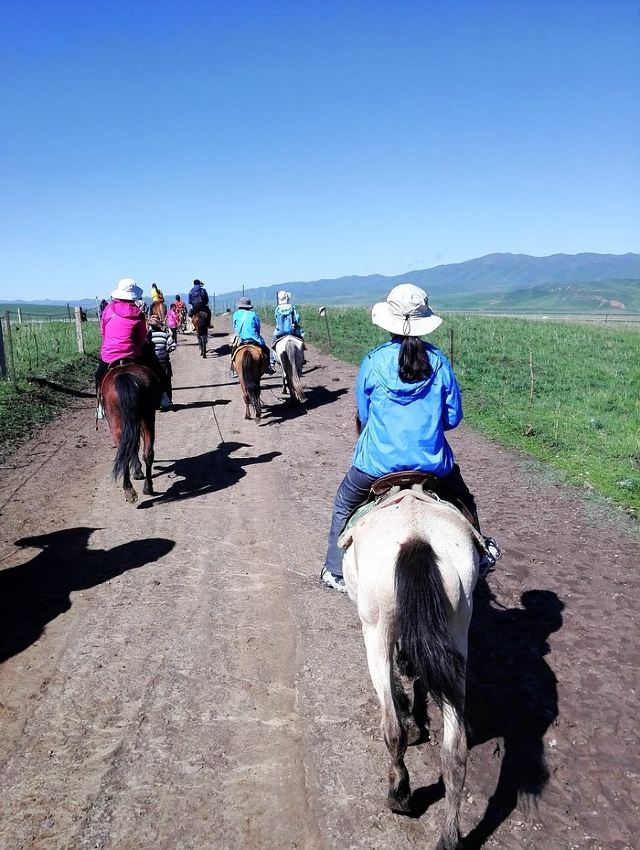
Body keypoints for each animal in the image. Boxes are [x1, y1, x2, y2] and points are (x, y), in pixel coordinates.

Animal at [100, 362, 161, 500]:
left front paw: (137, 471)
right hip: (148, 417)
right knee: (148, 452)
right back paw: (147, 487)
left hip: (116, 423)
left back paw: (129, 489)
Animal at [342, 484, 478, 848]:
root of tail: (416, 539)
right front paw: (417, 715)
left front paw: (409, 713)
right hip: (457, 629)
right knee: (455, 751)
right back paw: (449, 836)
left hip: (375, 629)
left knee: (392, 729)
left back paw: (399, 794)